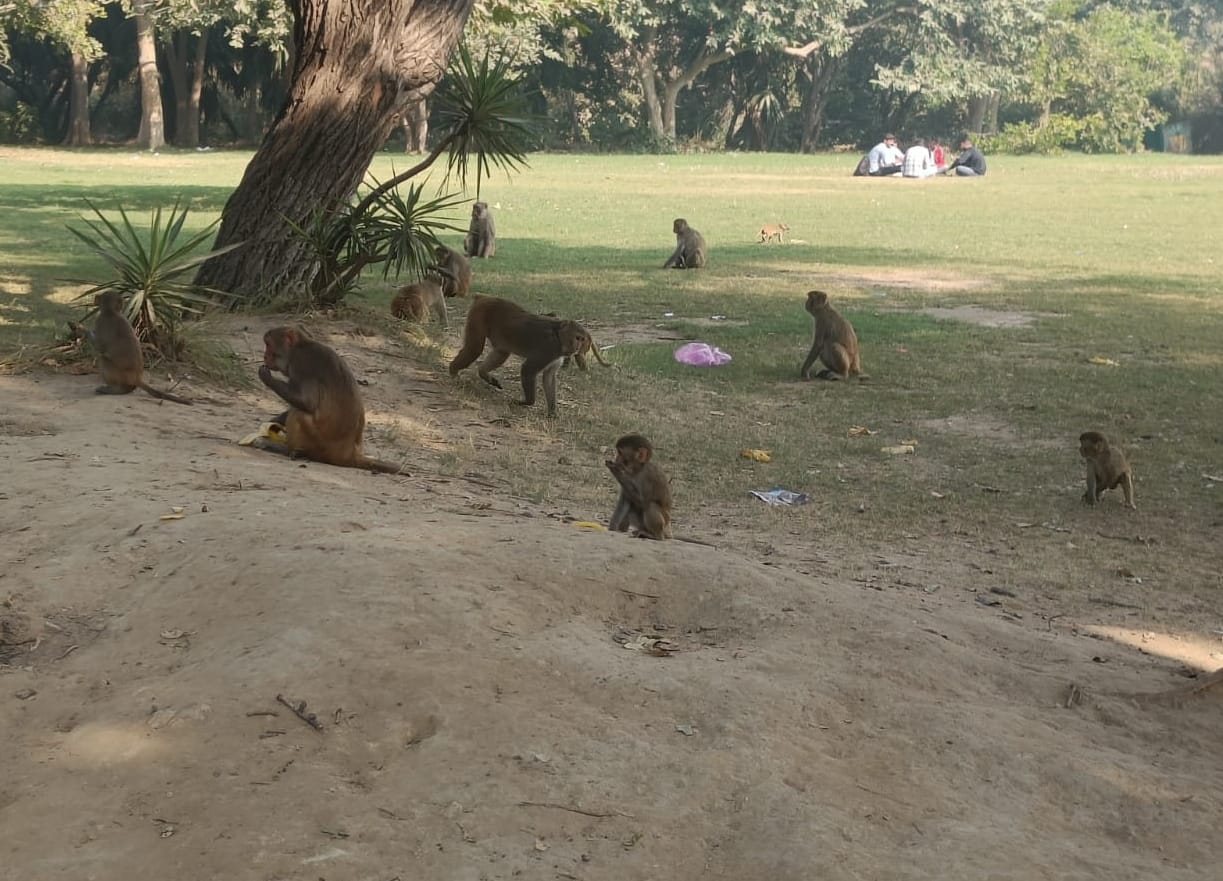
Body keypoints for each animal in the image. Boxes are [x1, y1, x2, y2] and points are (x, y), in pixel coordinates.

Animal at [257, 325, 407, 474]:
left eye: (268, 344)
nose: (264, 356)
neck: (297, 348)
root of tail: (349, 454)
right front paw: (275, 421)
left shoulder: (302, 364)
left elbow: (307, 403)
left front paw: (267, 378)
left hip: (319, 445)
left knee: (299, 413)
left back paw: (292, 451)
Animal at [448, 296, 589, 418]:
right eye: (577, 338)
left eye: (582, 339)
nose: (578, 347)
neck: (558, 336)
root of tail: (485, 297)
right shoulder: (549, 349)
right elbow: (528, 369)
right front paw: (527, 402)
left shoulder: (556, 356)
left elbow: (548, 377)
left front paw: (552, 413)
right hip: (479, 313)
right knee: (475, 348)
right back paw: (453, 371)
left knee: (502, 352)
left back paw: (484, 374)